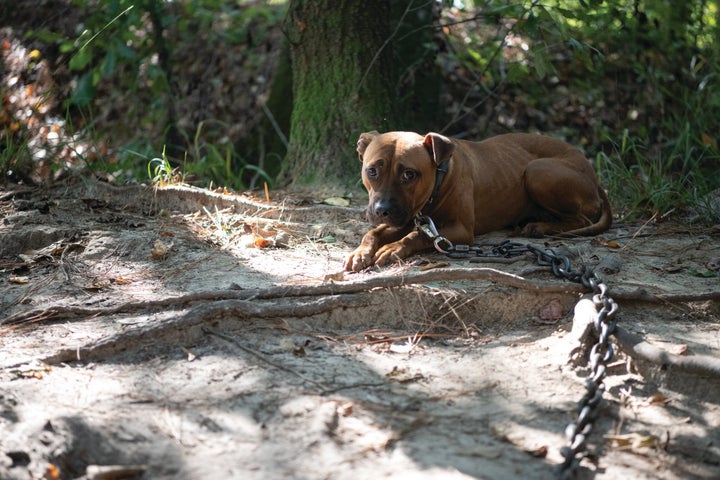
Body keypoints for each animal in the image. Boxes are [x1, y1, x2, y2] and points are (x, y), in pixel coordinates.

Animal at [342, 131, 608, 272]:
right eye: (372, 171)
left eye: (409, 174)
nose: (382, 210)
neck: (440, 178)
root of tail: (594, 177)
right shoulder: (407, 218)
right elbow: (373, 233)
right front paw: (360, 252)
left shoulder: (459, 230)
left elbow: (417, 236)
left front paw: (393, 248)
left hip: (537, 170)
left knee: (582, 219)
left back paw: (540, 226)